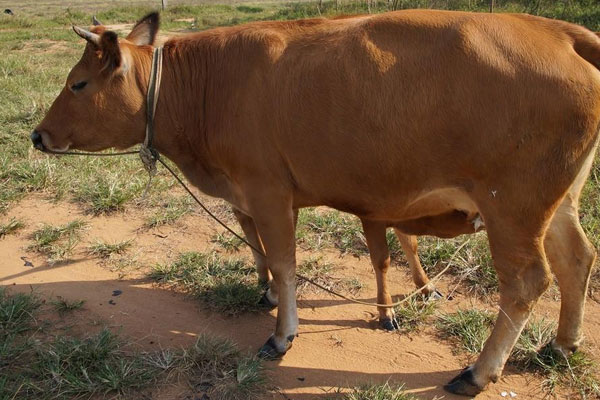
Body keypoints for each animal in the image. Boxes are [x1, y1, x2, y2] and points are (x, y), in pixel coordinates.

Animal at [31, 10, 600, 396]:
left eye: (77, 84)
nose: (37, 135)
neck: (206, 87)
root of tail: (560, 32)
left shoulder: (267, 190)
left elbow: (284, 262)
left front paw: (282, 334)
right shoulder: (247, 194)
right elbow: (260, 251)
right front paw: (264, 294)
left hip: (513, 208)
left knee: (527, 282)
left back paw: (479, 371)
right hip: (555, 204)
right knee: (576, 260)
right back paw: (561, 343)